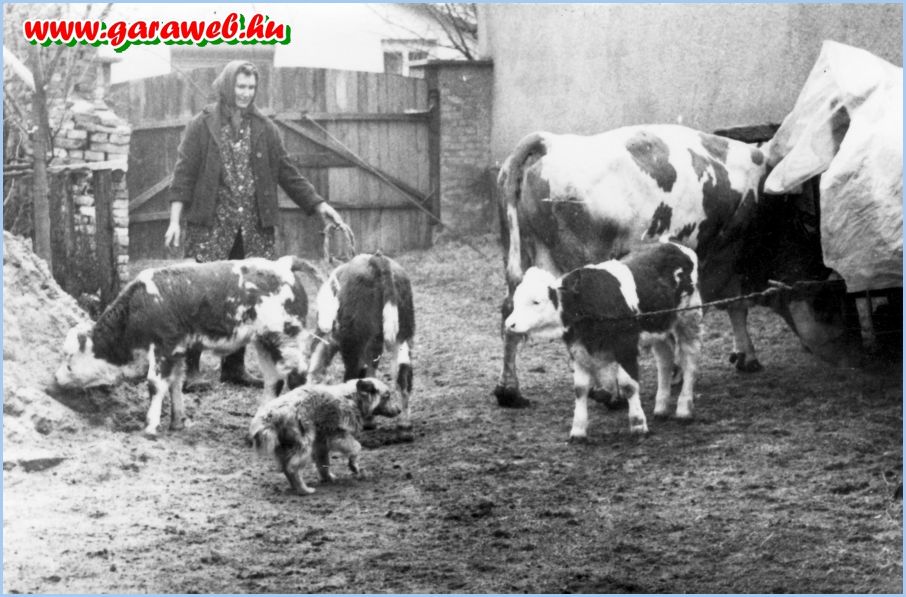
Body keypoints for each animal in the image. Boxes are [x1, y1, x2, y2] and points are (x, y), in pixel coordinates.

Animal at [54, 256, 315, 437]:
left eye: (69, 361)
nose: (56, 378)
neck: (139, 306)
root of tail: (283, 264)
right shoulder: (178, 351)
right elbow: (175, 384)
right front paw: (177, 421)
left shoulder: (162, 346)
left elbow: (155, 384)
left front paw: (150, 426)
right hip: (264, 342)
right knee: (273, 381)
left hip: (285, 339)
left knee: (297, 378)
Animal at [249, 378, 400, 495]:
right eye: (387, 396)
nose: (399, 410)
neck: (352, 398)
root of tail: (271, 415)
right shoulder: (337, 435)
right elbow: (357, 447)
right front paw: (354, 466)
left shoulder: (321, 442)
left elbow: (323, 462)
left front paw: (328, 478)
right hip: (304, 444)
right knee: (292, 468)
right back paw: (304, 490)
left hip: (285, 446)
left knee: (285, 467)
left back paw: (295, 487)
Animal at [305, 252, 415, 429]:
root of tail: (376, 258)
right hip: (402, 336)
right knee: (402, 375)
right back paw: (403, 423)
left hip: (354, 343)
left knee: (353, 376)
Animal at [495, 123, 854, 408]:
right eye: (828, 305)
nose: (848, 358)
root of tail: (549, 141)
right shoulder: (722, 256)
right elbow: (728, 306)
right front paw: (725, 360)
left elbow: (729, 308)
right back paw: (609, 393)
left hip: (525, 264)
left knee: (510, 310)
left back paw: (509, 390)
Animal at [505, 241, 702, 440]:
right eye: (516, 300)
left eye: (536, 301)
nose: (510, 324)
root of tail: (676, 246)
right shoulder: (578, 350)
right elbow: (580, 389)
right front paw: (578, 431)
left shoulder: (626, 347)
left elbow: (628, 385)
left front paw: (638, 425)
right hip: (659, 328)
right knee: (665, 360)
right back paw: (661, 408)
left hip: (689, 318)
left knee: (690, 360)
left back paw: (684, 410)